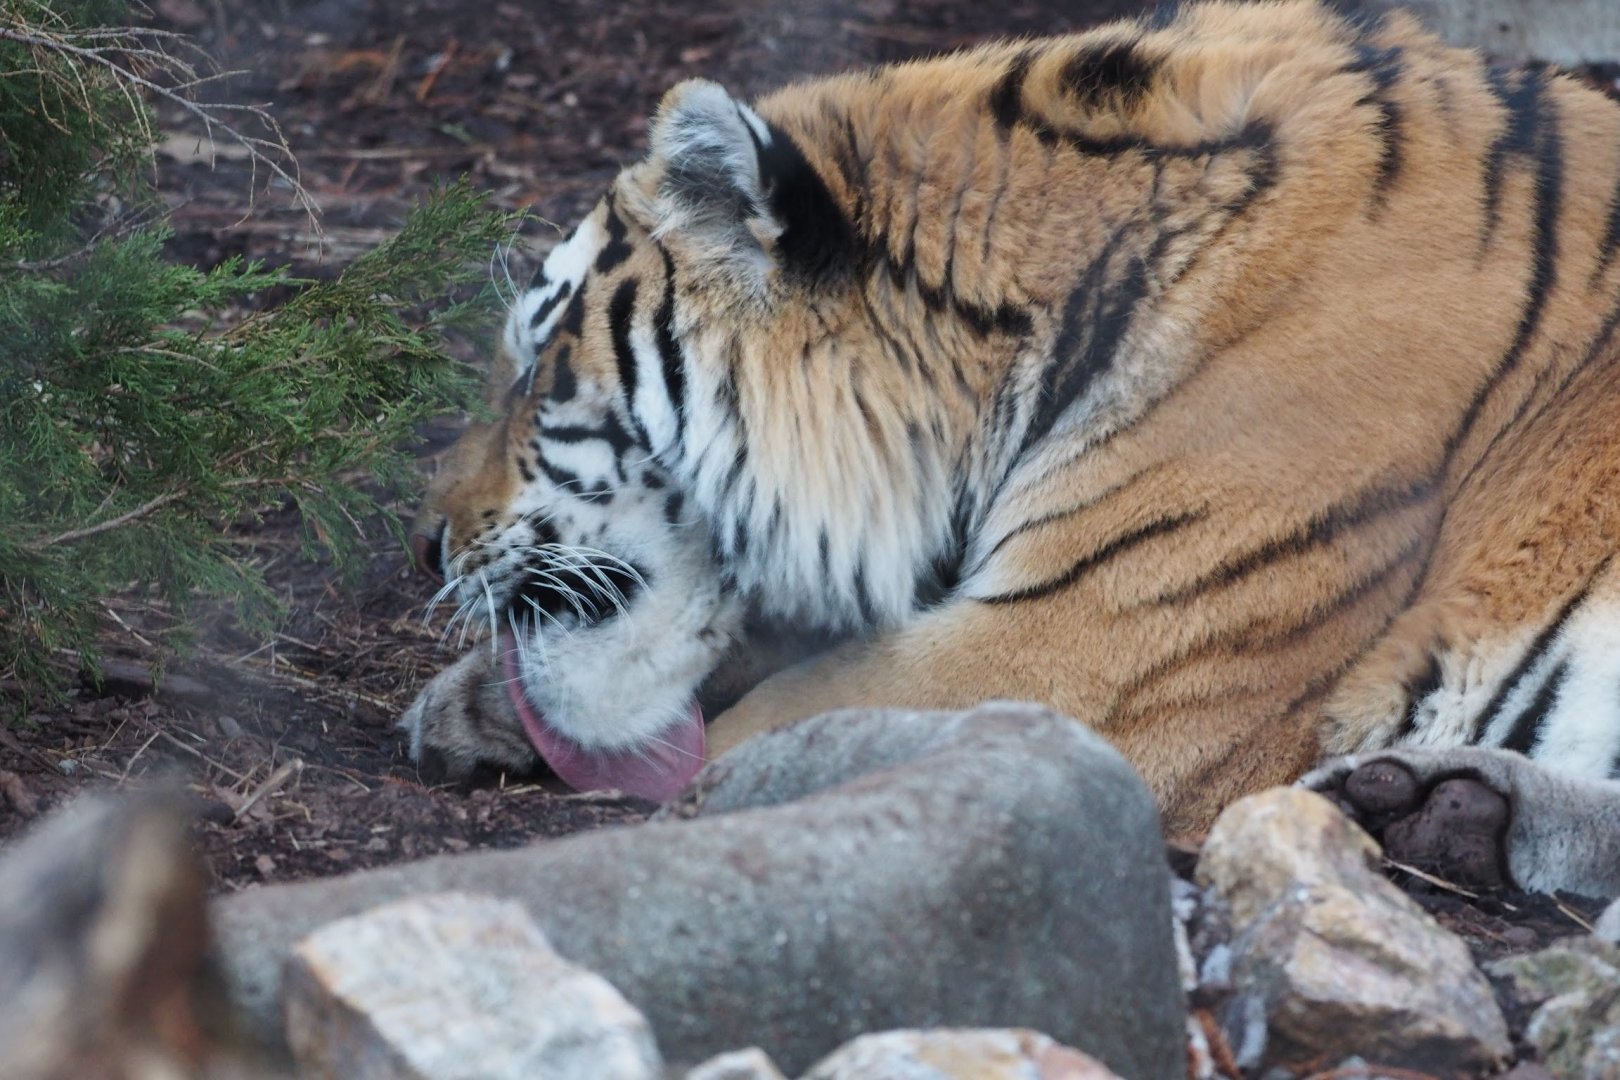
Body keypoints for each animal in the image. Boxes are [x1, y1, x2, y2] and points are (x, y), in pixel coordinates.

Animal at [401, 0, 1620, 899]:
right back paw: (1438, 808)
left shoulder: (1071, 650)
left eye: (535, 370)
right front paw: (475, 705)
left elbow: (790, 725)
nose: (423, 545)